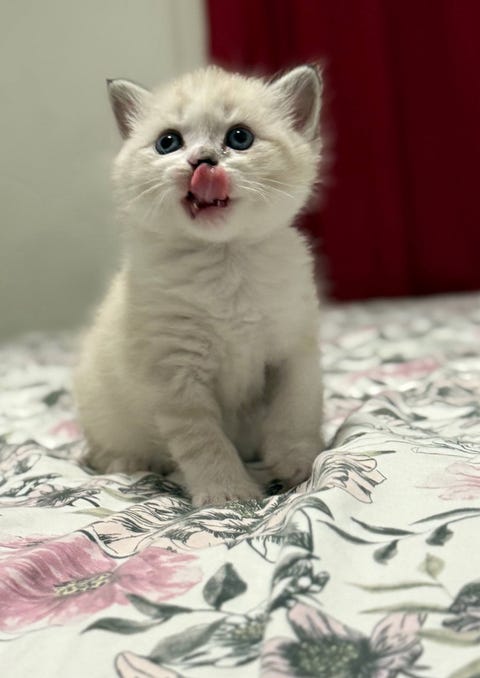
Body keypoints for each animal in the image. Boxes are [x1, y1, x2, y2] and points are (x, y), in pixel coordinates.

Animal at [73, 64, 324, 506]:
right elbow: (205, 442)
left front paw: (294, 464)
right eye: (168, 142)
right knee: (102, 452)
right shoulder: (176, 377)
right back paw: (131, 463)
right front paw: (229, 494)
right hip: (99, 403)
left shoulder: (294, 349)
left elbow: (295, 410)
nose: (202, 161)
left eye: (239, 138)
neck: (224, 261)